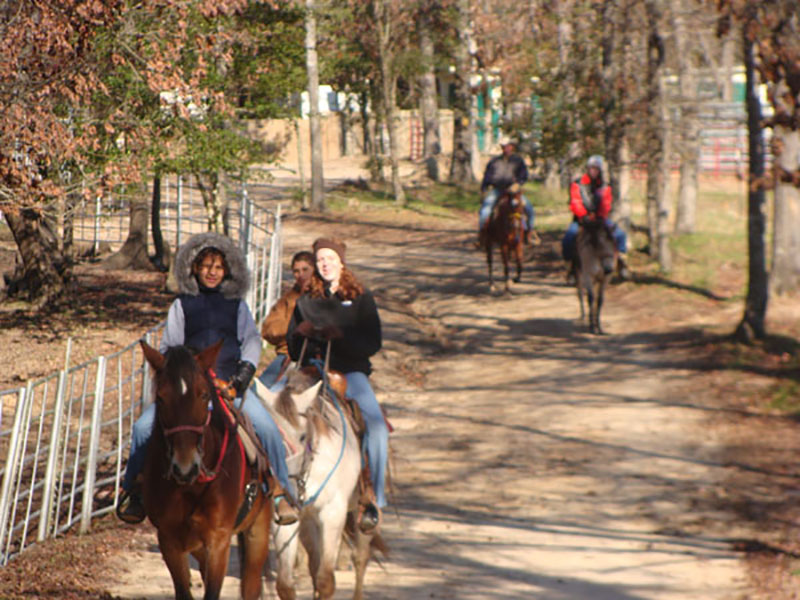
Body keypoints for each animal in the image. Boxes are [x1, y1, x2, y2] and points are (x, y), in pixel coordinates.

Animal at [139, 340, 274, 600]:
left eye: (203, 395)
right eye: (160, 398)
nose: (184, 467)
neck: (192, 487)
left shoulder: (218, 541)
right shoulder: (169, 541)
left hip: (258, 531)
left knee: (251, 584)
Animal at [253, 370, 384, 600]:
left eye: (302, 436)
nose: (284, 489)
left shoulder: (332, 513)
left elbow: (325, 581)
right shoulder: (287, 521)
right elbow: (286, 585)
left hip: (362, 516)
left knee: (360, 557)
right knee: (314, 562)